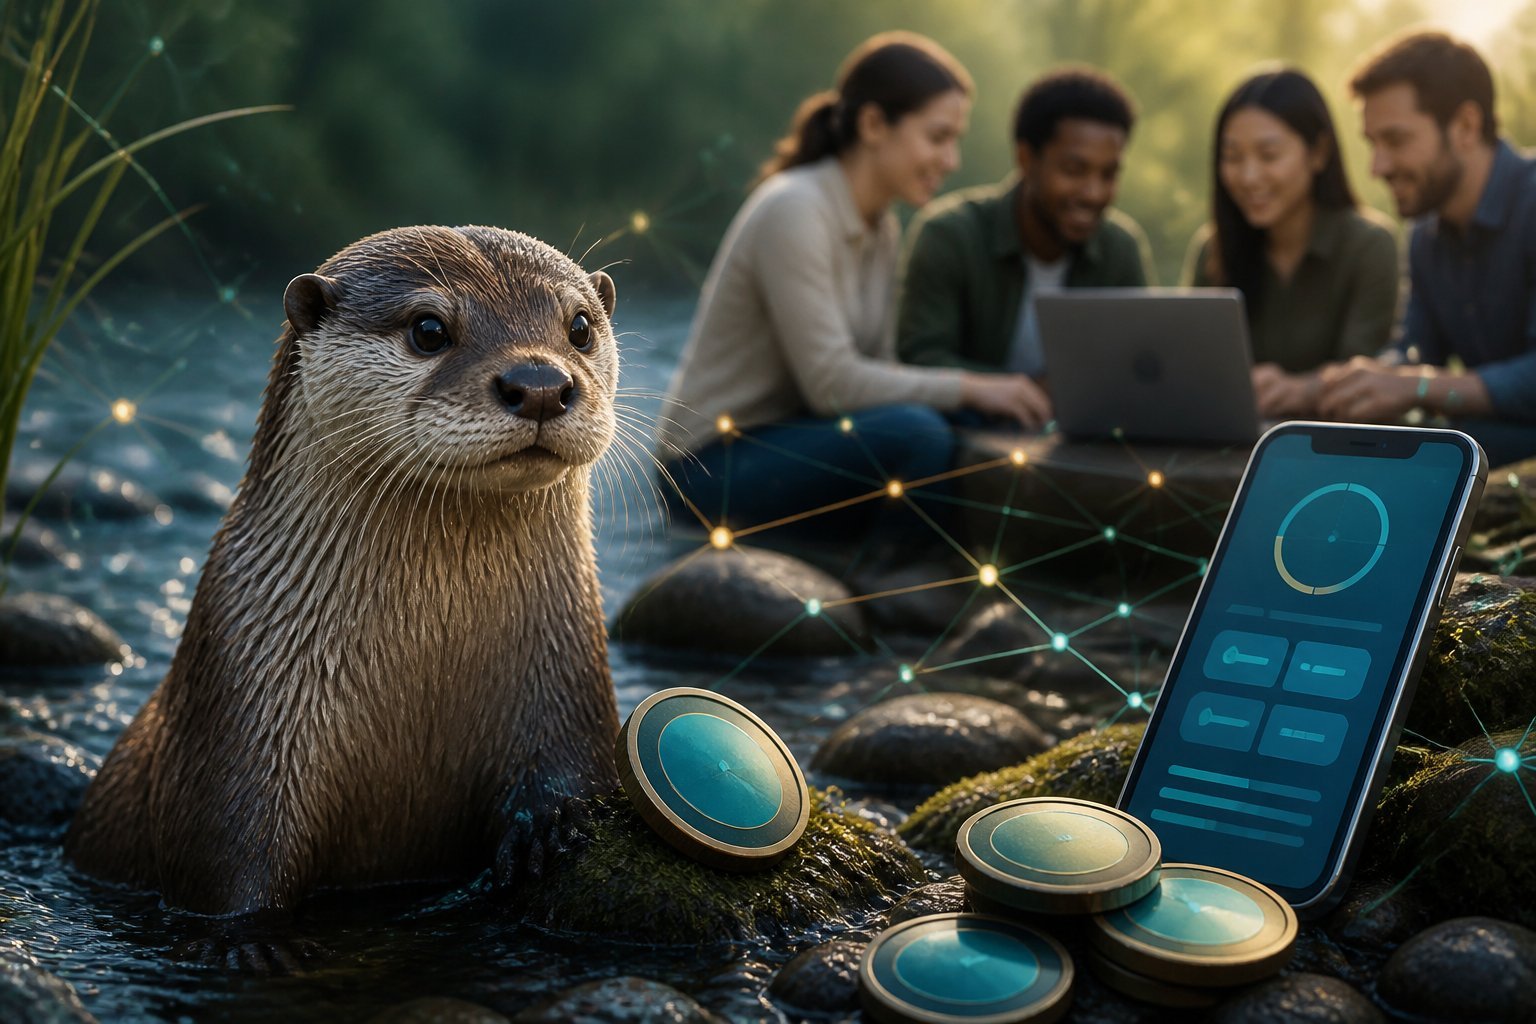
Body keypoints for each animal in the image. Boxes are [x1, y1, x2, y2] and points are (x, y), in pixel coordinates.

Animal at [64, 226, 623, 916]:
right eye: (429, 329)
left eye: (580, 326)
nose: (540, 382)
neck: (429, 663)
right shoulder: (241, 737)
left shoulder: (569, 692)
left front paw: (548, 825)